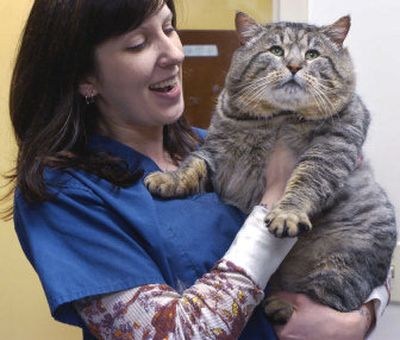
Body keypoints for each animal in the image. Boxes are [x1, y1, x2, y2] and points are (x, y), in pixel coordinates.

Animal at [145, 11, 396, 324]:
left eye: (312, 54)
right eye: (276, 50)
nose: (294, 65)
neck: (280, 118)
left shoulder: (332, 148)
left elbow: (305, 181)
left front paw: (287, 213)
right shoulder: (216, 153)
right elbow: (192, 165)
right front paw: (168, 179)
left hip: (343, 263)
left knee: (327, 302)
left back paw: (281, 306)